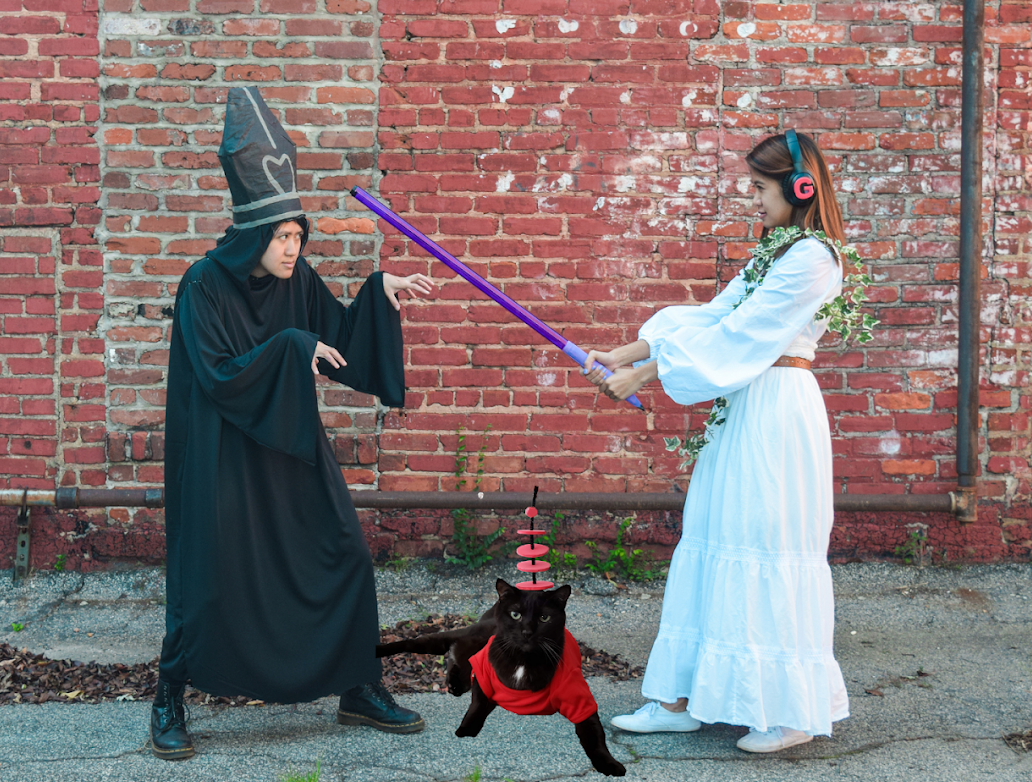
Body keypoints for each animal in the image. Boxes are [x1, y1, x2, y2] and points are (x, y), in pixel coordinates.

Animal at [375, 581, 623, 779]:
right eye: (516, 615)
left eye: (544, 617)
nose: (527, 631)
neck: (523, 660)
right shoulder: (485, 674)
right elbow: (477, 703)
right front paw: (466, 730)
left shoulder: (580, 699)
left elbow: (595, 735)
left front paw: (610, 765)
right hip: (477, 640)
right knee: (449, 646)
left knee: (456, 651)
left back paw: (456, 683)